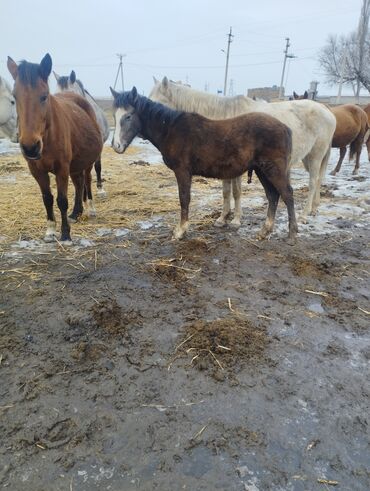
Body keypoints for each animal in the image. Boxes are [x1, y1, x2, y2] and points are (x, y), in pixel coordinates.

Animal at [6, 54, 102, 243]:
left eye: (44, 96)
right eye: (14, 97)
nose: (30, 147)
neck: (47, 136)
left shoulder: (62, 169)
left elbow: (61, 200)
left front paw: (65, 234)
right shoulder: (37, 171)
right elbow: (47, 199)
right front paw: (50, 231)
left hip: (87, 162)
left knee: (87, 181)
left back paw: (90, 209)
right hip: (75, 165)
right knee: (79, 183)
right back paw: (75, 213)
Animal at [110, 88, 298, 244]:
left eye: (128, 116)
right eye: (114, 116)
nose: (116, 146)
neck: (170, 129)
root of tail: (286, 128)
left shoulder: (183, 172)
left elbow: (184, 199)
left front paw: (181, 231)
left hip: (273, 170)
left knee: (287, 194)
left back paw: (292, 234)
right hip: (262, 170)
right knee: (273, 196)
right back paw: (265, 231)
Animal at [149, 77, 336, 227]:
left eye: (157, 102)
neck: (220, 119)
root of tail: (328, 111)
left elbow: (236, 192)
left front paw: (236, 220)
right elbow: (226, 192)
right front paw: (222, 218)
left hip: (315, 156)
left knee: (313, 182)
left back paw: (304, 215)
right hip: (307, 158)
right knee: (318, 180)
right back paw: (314, 209)